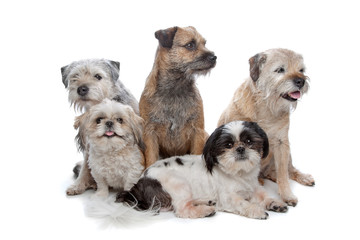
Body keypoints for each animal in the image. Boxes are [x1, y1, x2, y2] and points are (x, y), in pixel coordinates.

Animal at [61, 58, 140, 195]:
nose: (81, 89)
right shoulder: (89, 146)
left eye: (98, 76)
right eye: (75, 77)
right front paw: (78, 185)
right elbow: (85, 168)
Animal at [116, 122, 288, 219]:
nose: (240, 149)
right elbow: (242, 203)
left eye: (249, 141)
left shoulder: (253, 187)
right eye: (228, 145)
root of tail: (140, 183)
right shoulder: (228, 198)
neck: (239, 174)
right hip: (178, 183)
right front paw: (257, 210)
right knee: (182, 209)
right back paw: (205, 210)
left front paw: (275, 203)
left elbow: (264, 195)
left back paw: (206, 201)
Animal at [139, 26, 217, 168]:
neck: (175, 88)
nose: (214, 57)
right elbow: (151, 159)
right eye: (190, 45)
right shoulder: (149, 134)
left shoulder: (197, 132)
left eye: (204, 43)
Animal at [218, 48, 314, 206]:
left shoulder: (282, 143)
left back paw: (301, 177)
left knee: (288, 170)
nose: (301, 81)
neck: (266, 106)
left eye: (301, 70)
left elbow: (283, 173)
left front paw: (287, 194)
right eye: (280, 69)